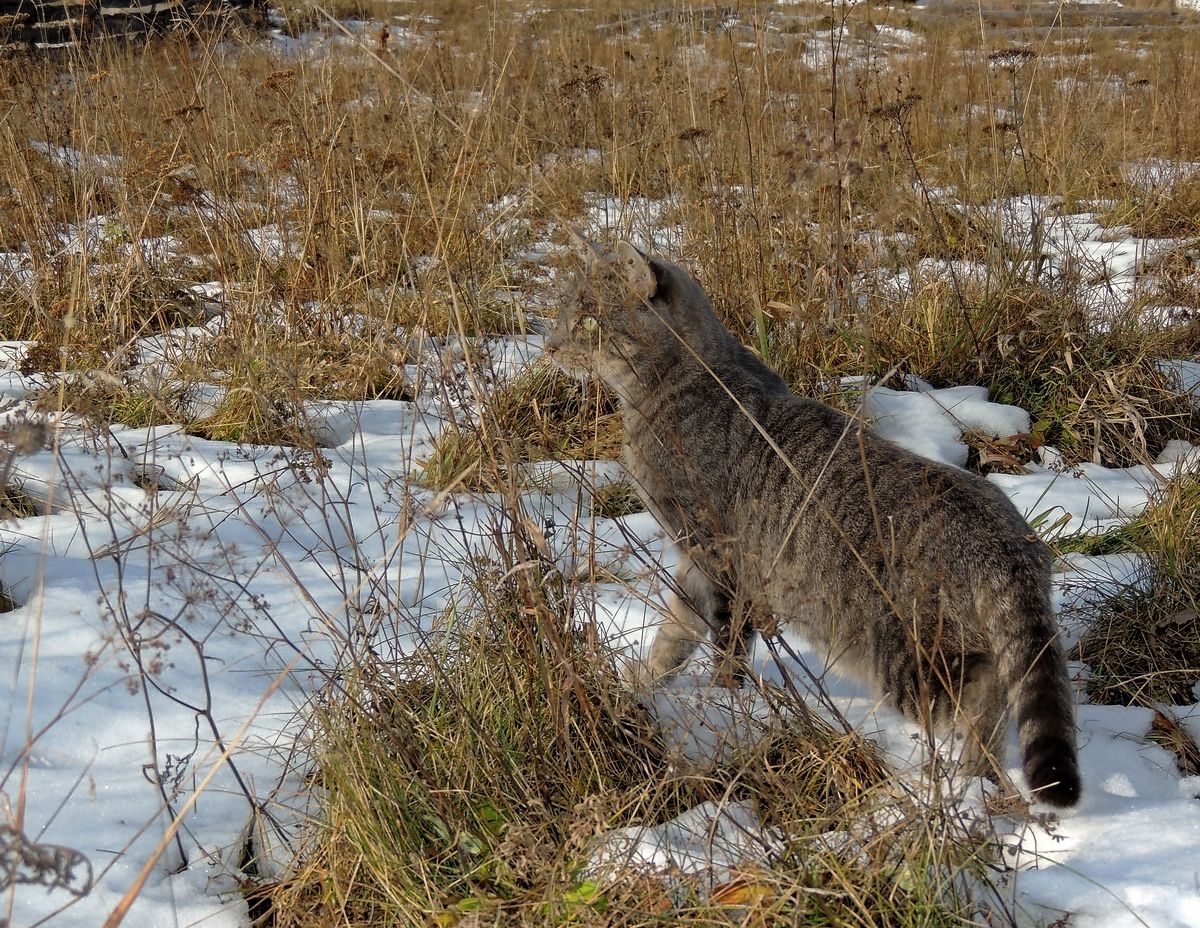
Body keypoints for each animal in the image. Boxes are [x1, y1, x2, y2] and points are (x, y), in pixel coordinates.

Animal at [549, 241, 1084, 811]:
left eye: (587, 319)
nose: (548, 343)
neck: (684, 378)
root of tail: (1009, 537)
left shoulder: (717, 551)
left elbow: (724, 644)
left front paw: (722, 700)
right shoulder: (695, 561)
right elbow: (675, 633)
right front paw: (644, 681)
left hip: (906, 651)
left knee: (982, 698)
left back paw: (970, 779)